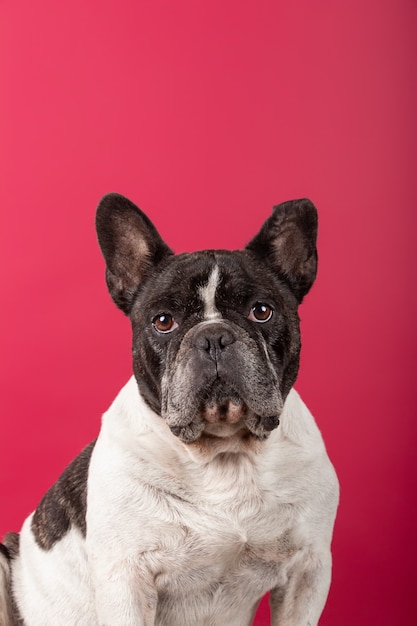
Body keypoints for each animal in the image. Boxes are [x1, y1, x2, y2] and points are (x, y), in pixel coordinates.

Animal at [0, 193, 338, 620]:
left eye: (262, 311)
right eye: (163, 321)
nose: (213, 336)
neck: (225, 456)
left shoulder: (308, 570)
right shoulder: (127, 579)